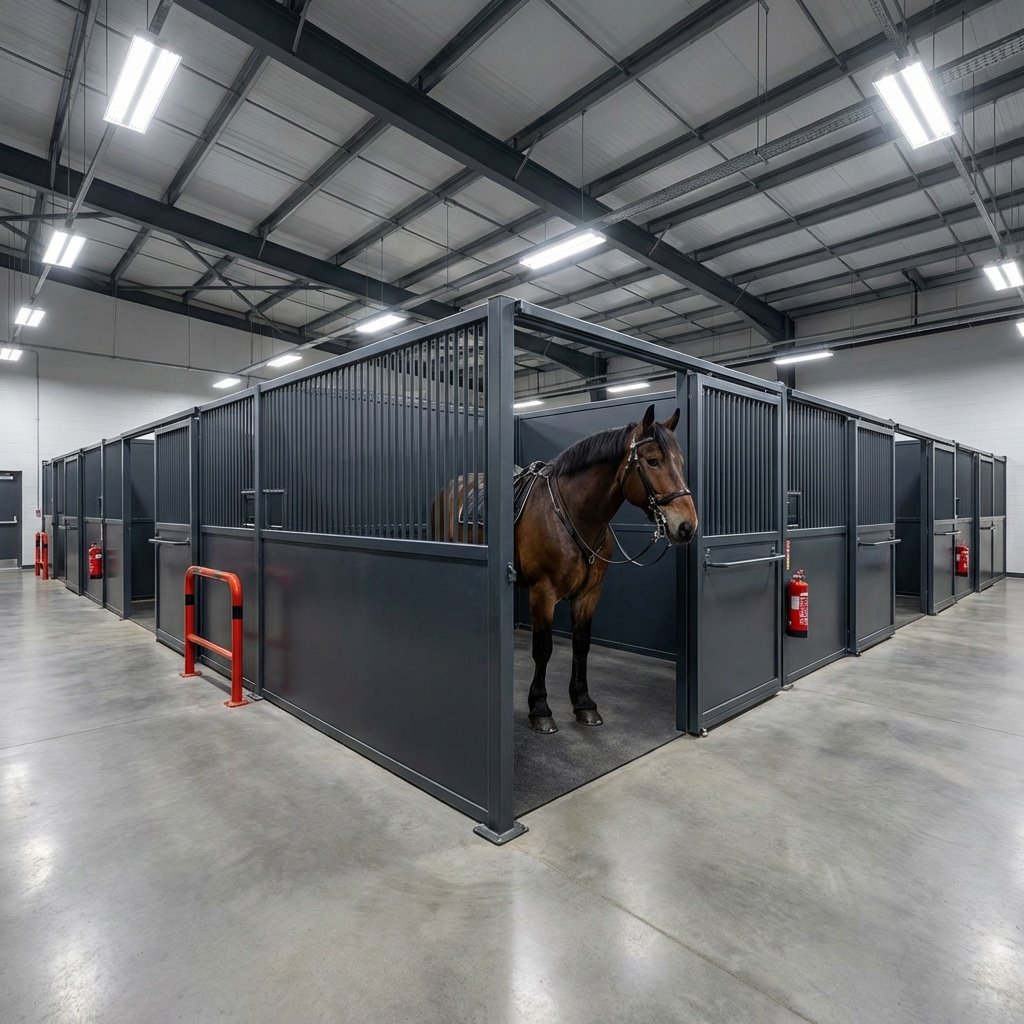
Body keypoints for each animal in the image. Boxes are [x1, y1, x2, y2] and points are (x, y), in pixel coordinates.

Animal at [434, 404, 697, 734]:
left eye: (681, 462)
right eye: (652, 461)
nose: (687, 526)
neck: (572, 513)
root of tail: (452, 485)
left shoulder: (590, 594)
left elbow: (581, 645)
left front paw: (584, 704)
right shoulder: (542, 593)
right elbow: (543, 648)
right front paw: (540, 709)